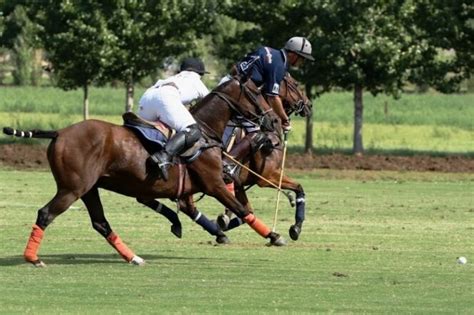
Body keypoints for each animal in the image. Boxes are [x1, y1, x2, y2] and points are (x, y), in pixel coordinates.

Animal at [2, 78, 286, 268]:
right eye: (256, 93)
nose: (274, 121)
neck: (206, 131)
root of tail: (59, 132)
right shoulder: (213, 184)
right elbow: (243, 210)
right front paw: (274, 235)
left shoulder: (177, 188)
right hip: (72, 189)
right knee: (46, 213)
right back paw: (33, 258)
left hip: (88, 189)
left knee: (100, 223)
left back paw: (133, 257)